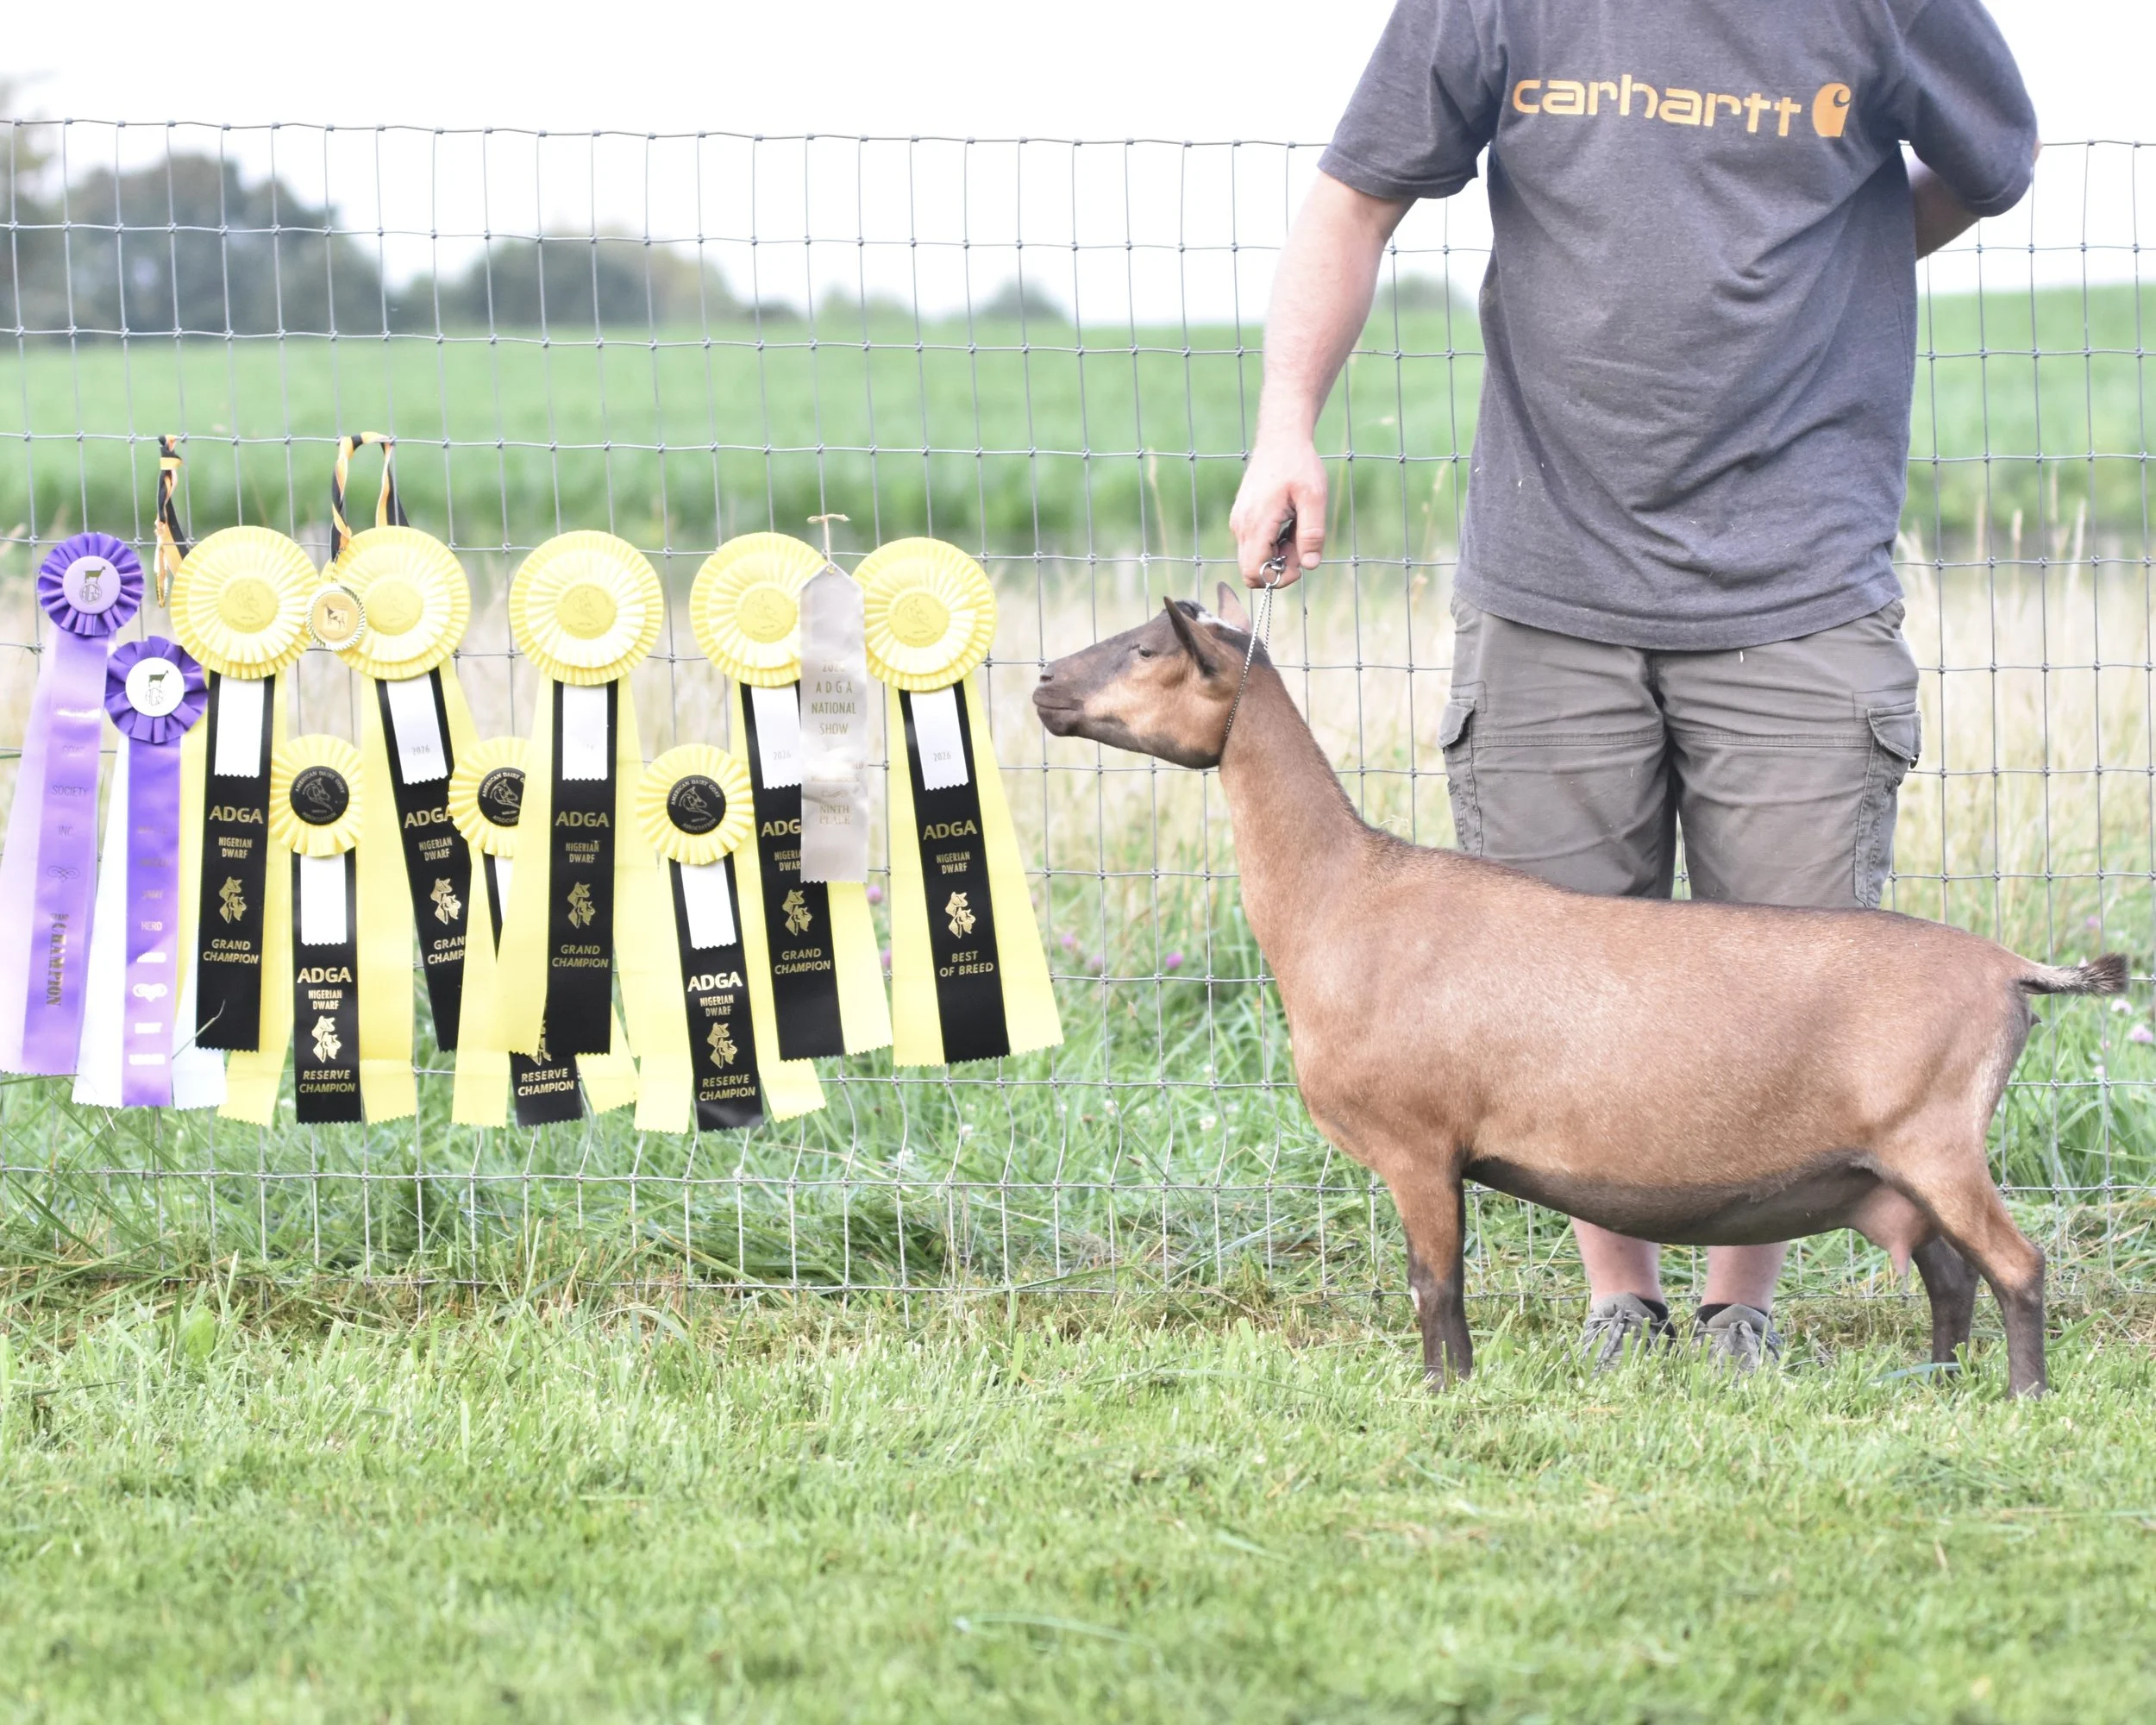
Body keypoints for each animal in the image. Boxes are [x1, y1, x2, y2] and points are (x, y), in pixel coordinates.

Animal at [1033, 589, 2128, 1396]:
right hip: (1892, 1168)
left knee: (2016, 1266)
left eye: (1145, 647)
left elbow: (1434, 1282)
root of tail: (2008, 967)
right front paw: (1454, 1386)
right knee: (1948, 1271)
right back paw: (1934, 1383)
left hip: (1937, 1140)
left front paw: (1444, 1392)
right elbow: (1439, 1281)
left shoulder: (1418, 1144)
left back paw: (2022, 1395)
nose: (1042, 681)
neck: (1344, 896)